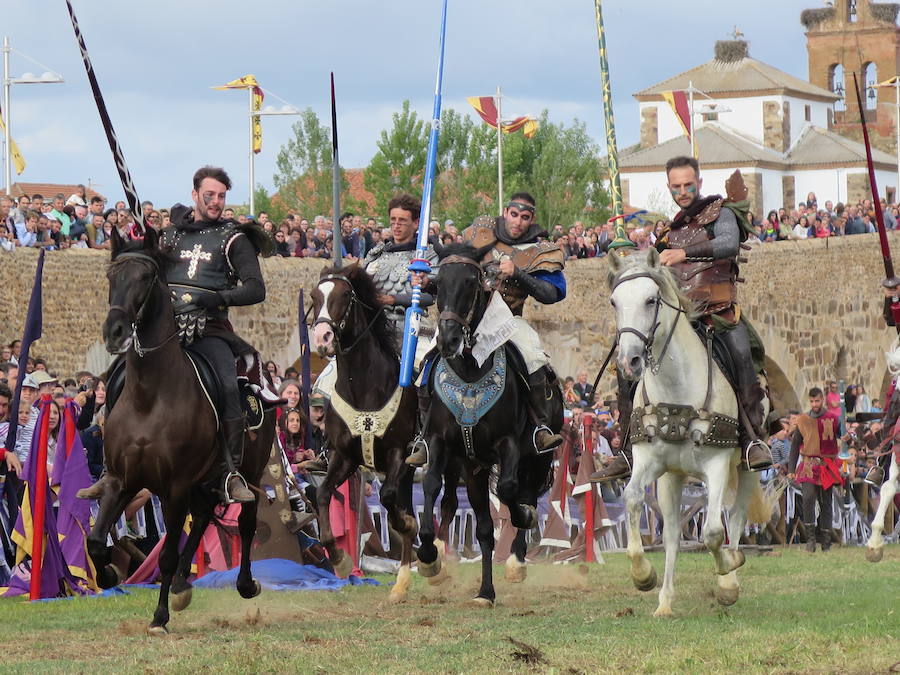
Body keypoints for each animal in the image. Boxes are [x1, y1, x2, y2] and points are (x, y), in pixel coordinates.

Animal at [92, 230, 276, 636]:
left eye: (146, 278)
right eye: (112, 276)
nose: (114, 332)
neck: (149, 396)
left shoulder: (173, 486)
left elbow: (166, 553)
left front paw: (159, 617)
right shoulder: (121, 480)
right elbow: (96, 540)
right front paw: (108, 576)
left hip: (249, 471)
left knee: (246, 521)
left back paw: (244, 583)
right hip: (201, 479)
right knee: (205, 512)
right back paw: (180, 585)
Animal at [418, 244, 560, 608]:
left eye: (472, 282)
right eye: (437, 283)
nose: (449, 339)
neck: (470, 370)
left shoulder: (507, 444)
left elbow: (510, 490)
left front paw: (523, 520)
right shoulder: (444, 445)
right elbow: (431, 485)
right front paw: (428, 556)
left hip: (535, 457)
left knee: (524, 491)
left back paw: (517, 559)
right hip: (475, 469)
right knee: (483, 527)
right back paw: (485, 591)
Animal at [604, 248, 768, 616]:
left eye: (651, 300)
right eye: (614, 302)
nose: (628, 361)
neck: (677, 389)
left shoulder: (717, 466)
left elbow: (712, 531)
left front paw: (726, 578)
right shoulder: (649, 463)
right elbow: (633, 499)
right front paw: (642, 575)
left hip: (745, 467)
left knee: (736, 516)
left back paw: (731, 572)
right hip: (673, 477)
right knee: (672, 535)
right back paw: (664, 602)